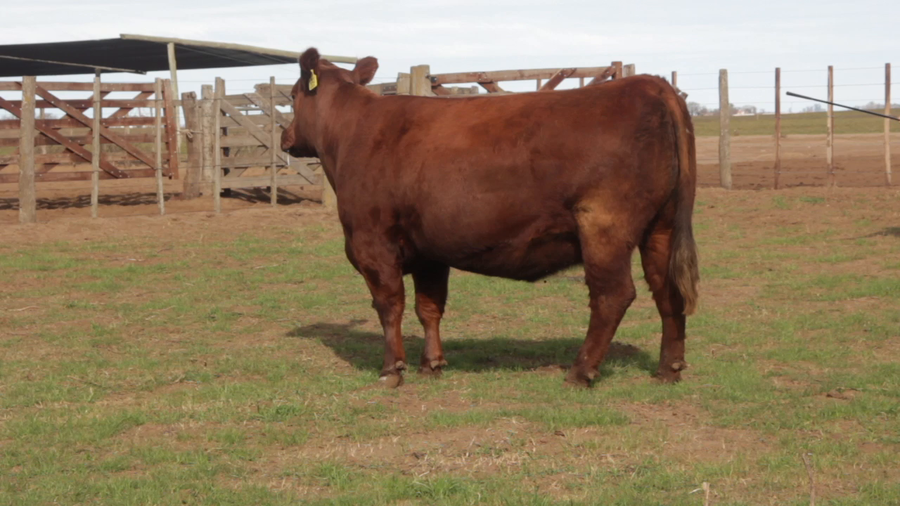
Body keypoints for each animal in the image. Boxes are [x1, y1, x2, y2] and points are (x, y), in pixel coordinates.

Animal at [282, 48, 700, 389]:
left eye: (292, 95)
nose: (286, 137)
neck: (356, 132)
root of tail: (650, 84)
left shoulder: (371, 242)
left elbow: (390, 306)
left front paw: (391, 370)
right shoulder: (429, 250)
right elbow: (428, 307)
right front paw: (431, 364)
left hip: (604, 225)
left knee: (612, 295)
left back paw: (580, 371)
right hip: (661, 226)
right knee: (667, 289)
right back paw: (668, 369)